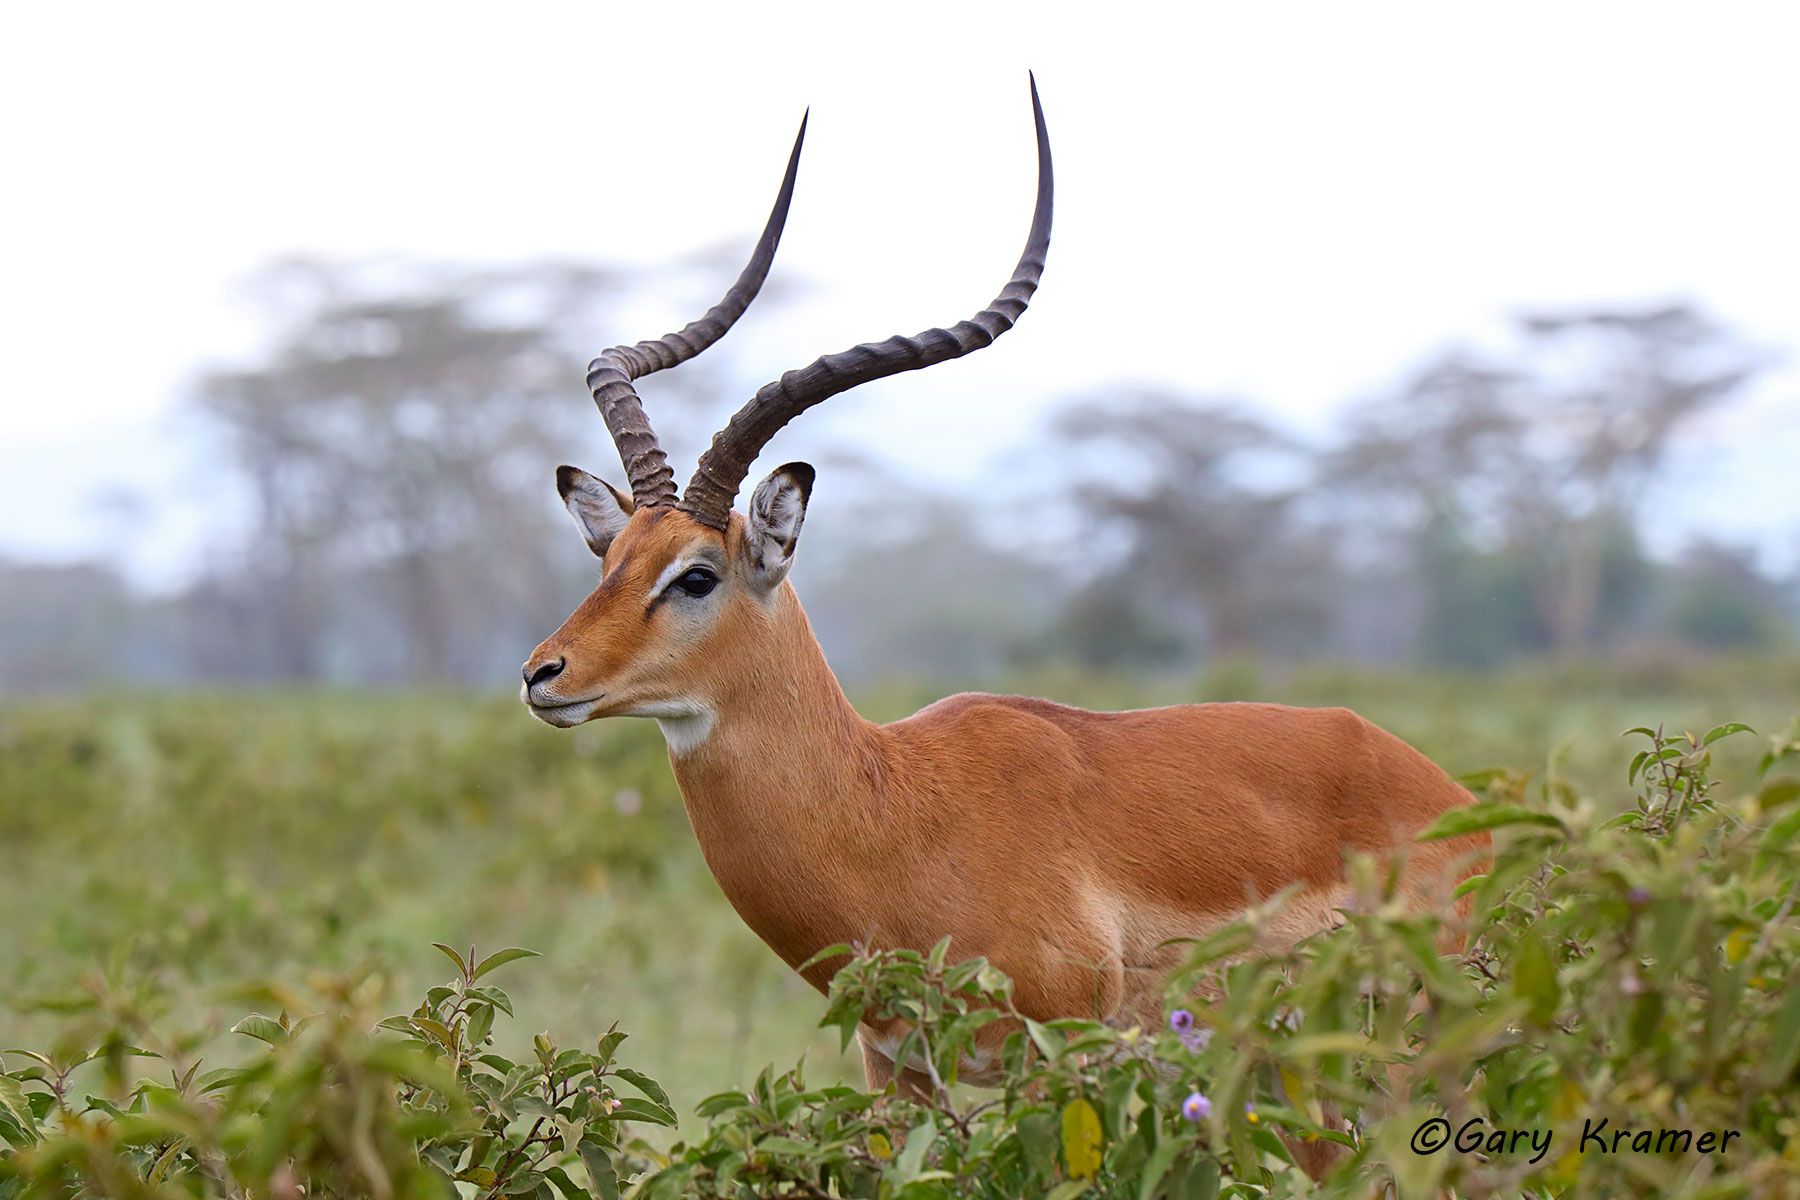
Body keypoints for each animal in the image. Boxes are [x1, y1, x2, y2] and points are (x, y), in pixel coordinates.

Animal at [522, 79, 1488, 1112]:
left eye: (696, 575)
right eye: (610, 558)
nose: (544, 674)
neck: (892, 810)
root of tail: (1446, 795)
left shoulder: (1060, 1058)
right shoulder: (895, 1065)